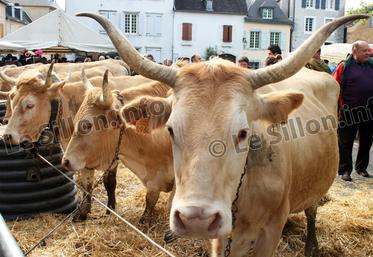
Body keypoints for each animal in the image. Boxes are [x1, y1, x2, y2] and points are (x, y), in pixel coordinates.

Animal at [76, 13, 366, 255]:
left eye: (243, 132)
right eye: (170, 129)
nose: (196, 219)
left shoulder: (270, 231)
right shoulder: (220, 237)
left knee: (312, 210)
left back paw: (312, 245)